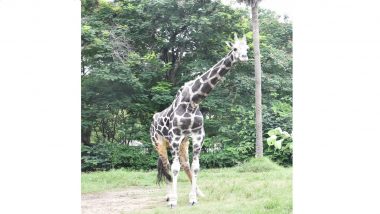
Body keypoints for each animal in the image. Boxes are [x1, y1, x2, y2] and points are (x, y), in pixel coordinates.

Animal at [150, 33, 251, 207]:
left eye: (247, 48)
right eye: (234, 48)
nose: (244, 57)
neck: (192, 101)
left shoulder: (198, 135)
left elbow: (195, 167)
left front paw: (193, 198)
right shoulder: (175, 136)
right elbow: (174, 168)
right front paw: (174, 201)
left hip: (184, 142)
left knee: (184, 165)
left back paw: (197, 192)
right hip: (159, 142)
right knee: (167, 166)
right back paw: (169, 196)